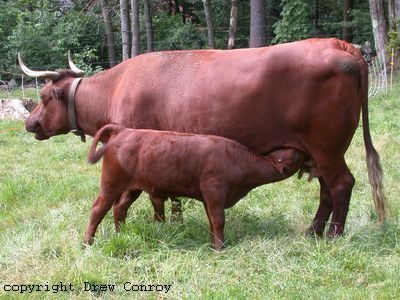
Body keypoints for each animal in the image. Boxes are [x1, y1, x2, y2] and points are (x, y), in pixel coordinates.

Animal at [86, 123, 306, 250]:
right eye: (294, 154)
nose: (304, 149)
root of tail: (124, 130)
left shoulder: (209, 198)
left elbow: (211, 221)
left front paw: (214, 243)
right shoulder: (215, 191)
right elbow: (218, 220)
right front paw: (220, 249)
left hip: (132, 188)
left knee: (120, 208)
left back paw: (120, 233)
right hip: (111, 184)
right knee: (98, 209)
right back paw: (88, 242)